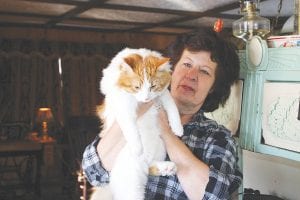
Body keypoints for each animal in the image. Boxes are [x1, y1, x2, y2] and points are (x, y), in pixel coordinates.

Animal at [89, 47, 183, 200]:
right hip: (131, 182)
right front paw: (137, 146)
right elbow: (131, 128)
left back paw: (166, 168)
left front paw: (177, 127)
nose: (146, 98)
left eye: (152, 86)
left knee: (150, 166)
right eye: (137, 87)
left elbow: (172, 106)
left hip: (160, 147)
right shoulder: (123, 105)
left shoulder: (162, 93)